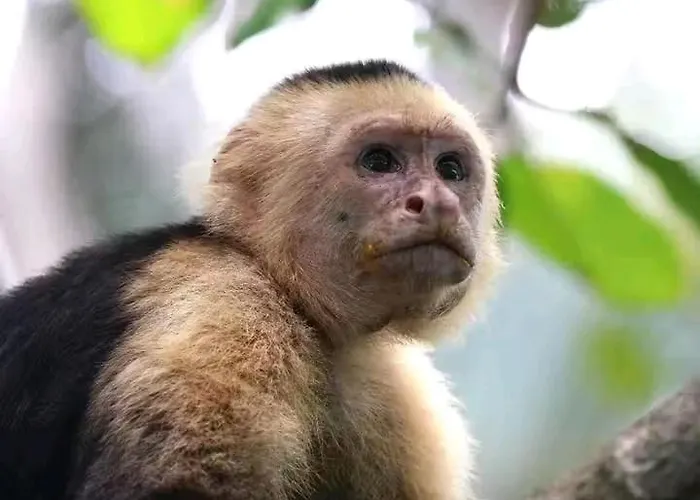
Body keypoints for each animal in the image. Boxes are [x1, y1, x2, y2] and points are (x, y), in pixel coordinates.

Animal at [0, 59, 502, 500]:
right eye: (379, 161)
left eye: (450, 170)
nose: (439, 203)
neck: (300, 305)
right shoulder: (224, 300)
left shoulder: (391, 388)